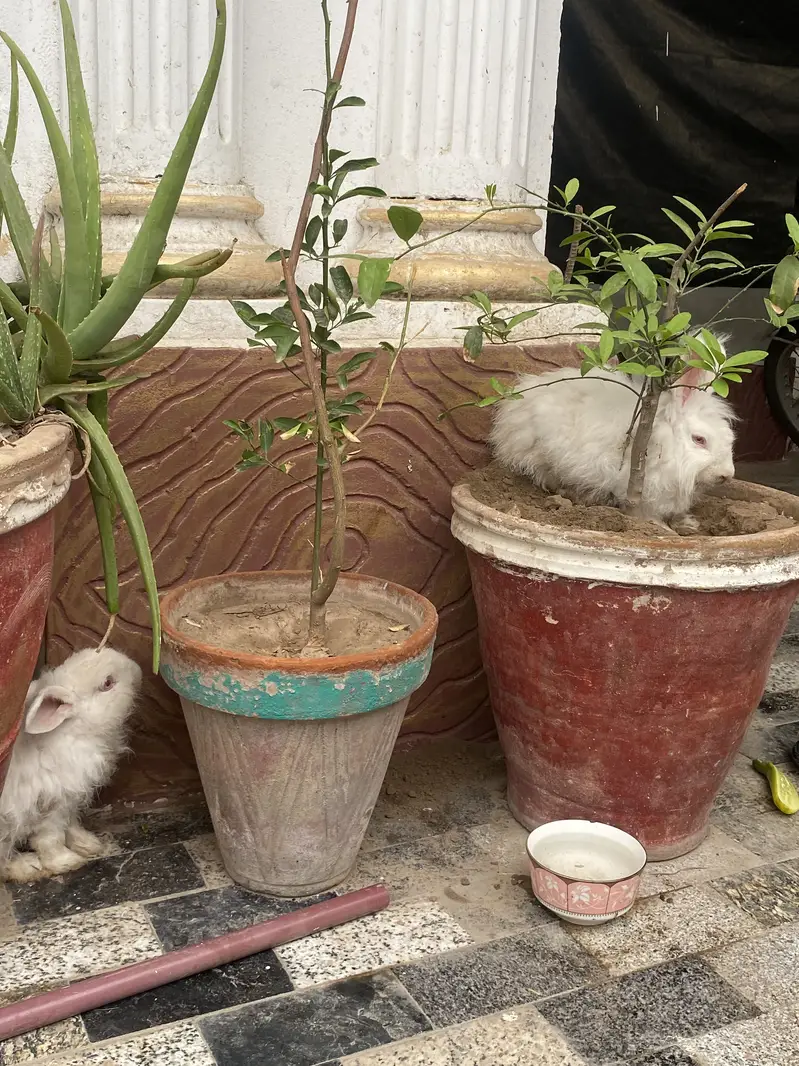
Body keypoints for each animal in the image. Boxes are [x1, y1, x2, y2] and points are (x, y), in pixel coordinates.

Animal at [0, 647, 141, 883]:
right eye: (107, 683)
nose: (137, 669)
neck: (73, 732)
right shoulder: (53, 803)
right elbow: (50, 838)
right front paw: (67, 861)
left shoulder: (72, 800)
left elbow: (71, 825)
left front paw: (89, 844)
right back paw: (28, 867)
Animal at [490, 363, 736, 533]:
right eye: (699, 439)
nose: (727, 474)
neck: (664, 443)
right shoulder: (641, 492)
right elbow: (646, 514)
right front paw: (661, 528)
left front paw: (688, 524)